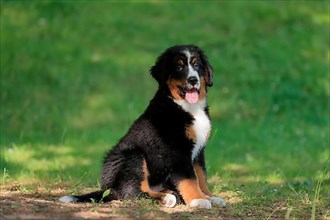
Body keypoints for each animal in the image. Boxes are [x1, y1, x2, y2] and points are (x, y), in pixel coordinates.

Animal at [59, 44, 226, 208]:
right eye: (179, 67)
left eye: (196, 65)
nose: (193, 80)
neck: (187, 107)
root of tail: (108, 188)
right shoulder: (177, 151)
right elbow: (190, 178)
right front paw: (198, 199)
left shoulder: (198, 151)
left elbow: (201, 175)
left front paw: (209, 196)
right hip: (134, 157)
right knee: (131, 192)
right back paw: (167, 198)